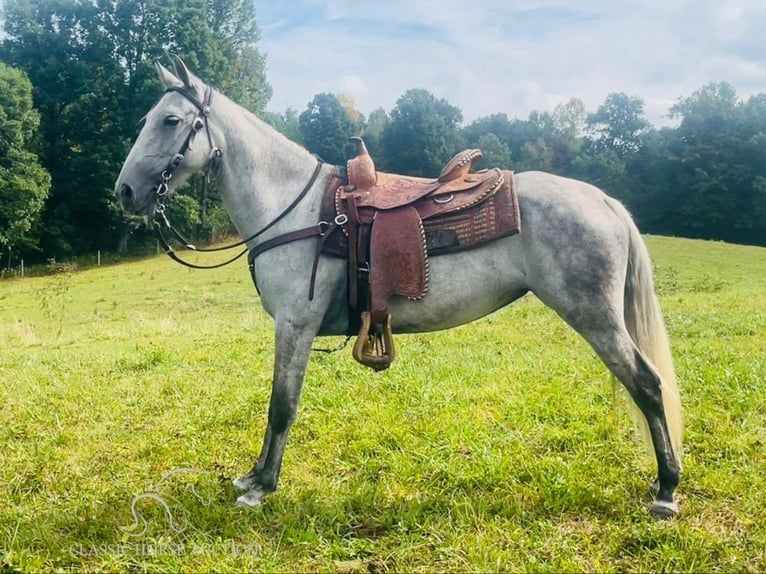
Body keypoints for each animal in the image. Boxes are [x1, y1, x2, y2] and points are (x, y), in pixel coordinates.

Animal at [114, 59, 684, 520]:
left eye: (170, 121)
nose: (125, 192)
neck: (296, 209)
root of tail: (605, 201)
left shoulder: (295, 326)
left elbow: (281, 405)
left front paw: (262, 488)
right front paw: (253, 475)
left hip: (596, 316)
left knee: (648, 385)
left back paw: (666, 490)